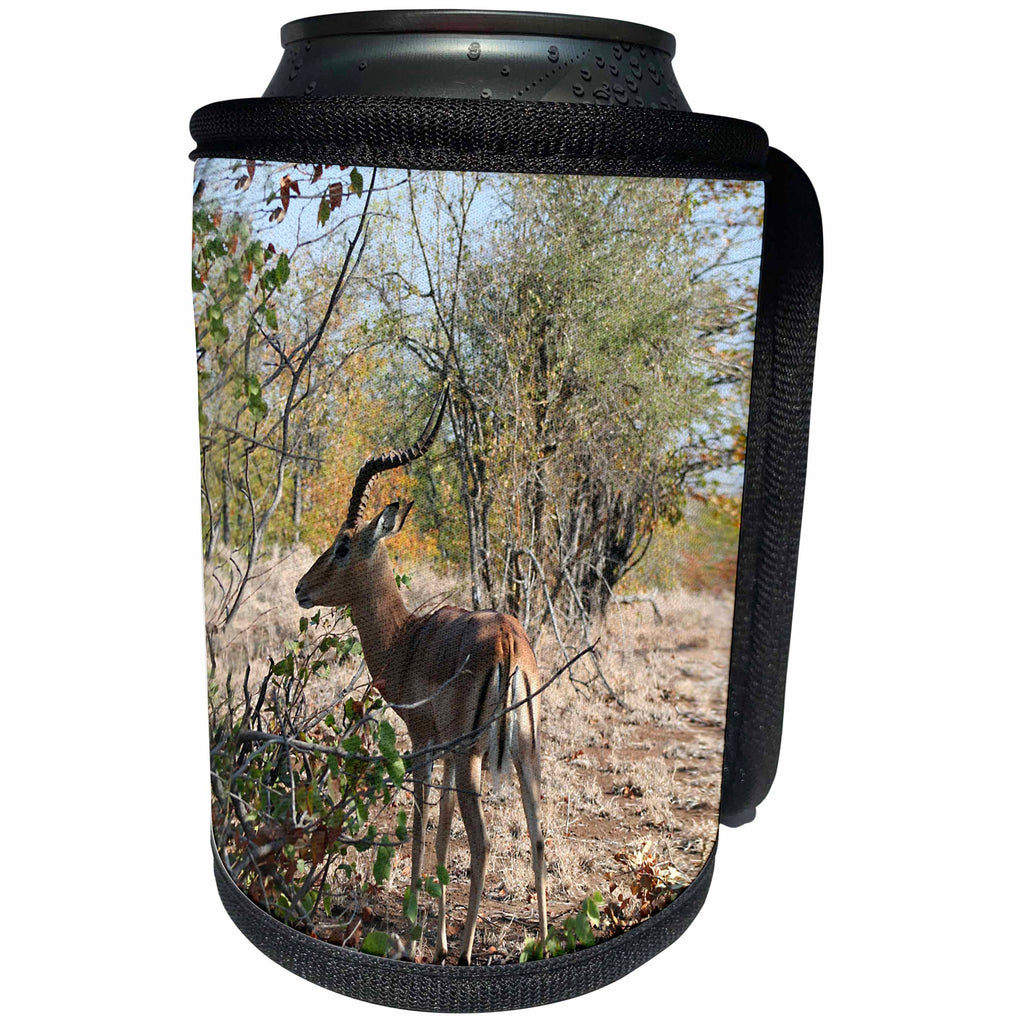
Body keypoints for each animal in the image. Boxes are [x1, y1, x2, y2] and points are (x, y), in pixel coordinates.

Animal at [295, 388, 548, 965]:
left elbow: (419, 829)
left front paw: (414, 940)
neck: (407, 639)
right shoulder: (448, 753)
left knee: (483, 843)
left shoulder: (423, 744)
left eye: (343, 545)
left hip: (475, 759)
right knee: (538, 838)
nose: (301, 589)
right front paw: (436, 934)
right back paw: (546, 942)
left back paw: (467, 952)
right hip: (525, 754)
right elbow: (441, 832)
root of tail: (507, 640)